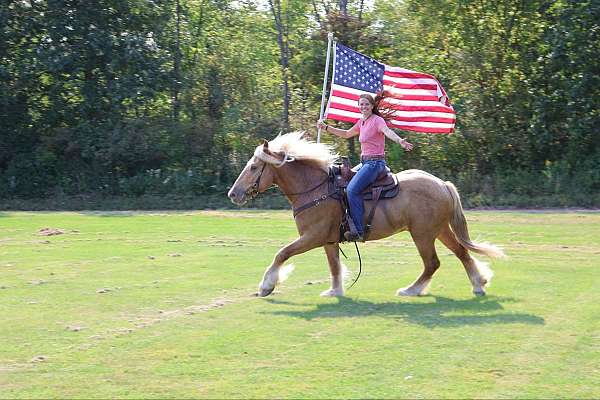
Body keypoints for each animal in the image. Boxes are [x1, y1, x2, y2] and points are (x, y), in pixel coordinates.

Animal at [227, 131, 504, 296]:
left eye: (254, 167)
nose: (233, 193)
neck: (315, 189)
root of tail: (442, 184)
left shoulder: (312, 236)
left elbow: (282, 253)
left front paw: (266, 285)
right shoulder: (328, 240)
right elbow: (334, 266)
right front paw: (335, 291)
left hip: (423, 234)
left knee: (432, 263)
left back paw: (411, 290)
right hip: (439, 230)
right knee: (461, 253)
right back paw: (478, 284)